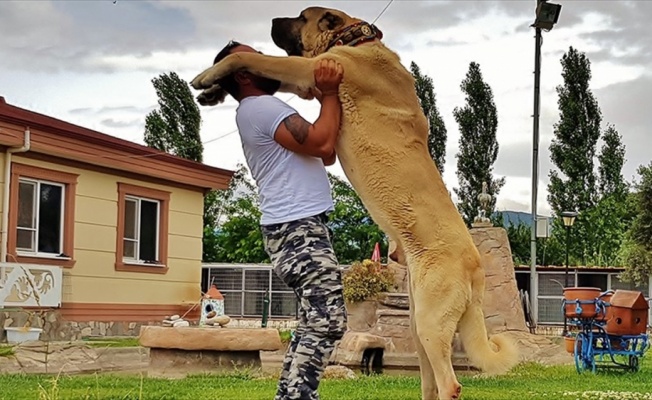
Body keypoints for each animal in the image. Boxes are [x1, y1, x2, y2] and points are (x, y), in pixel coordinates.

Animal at [190, 6, 520, 400]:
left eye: (301, 16)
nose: (271, 20)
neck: (356, 40)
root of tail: (477, 269)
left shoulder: (310, 71)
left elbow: (253, 59)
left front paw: (206, 76)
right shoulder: (309, 81)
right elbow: (263, 67)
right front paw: (212, 91)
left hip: (430, 320)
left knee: (450, 383)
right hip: (419, 324)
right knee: (430, 380)